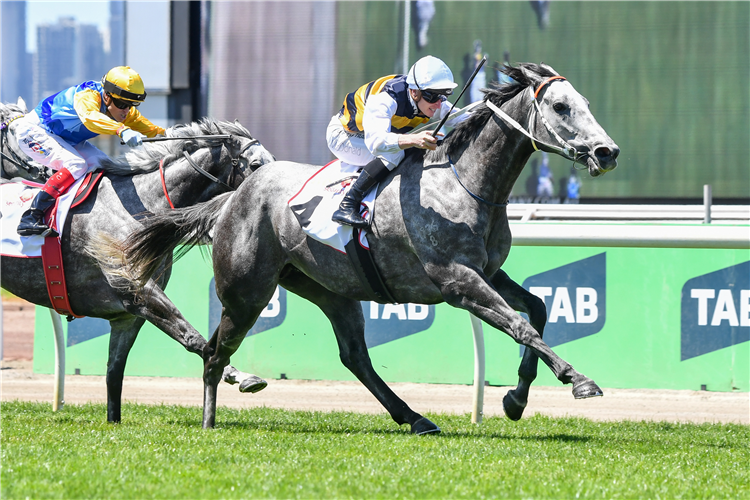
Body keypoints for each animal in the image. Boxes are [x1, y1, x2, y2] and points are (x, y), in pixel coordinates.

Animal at [0, 117, 276, 422]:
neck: (140, 207)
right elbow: (193, 337)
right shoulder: (139, 293)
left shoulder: (128, 315)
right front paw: (238, 374)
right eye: (254, 164)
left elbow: (114, 372)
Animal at [108, 63, 620, 434]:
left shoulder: (488, 273)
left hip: (329, 289)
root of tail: (234, 195)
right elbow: (519, 324)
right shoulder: (456, 280)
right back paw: (210, 421)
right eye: (560, 106)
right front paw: (580, 380)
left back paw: (415, 417)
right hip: (247, 290)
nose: (607, 152)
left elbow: (537, 310)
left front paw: (516, 398)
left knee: (353, 356)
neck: (464, 183)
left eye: (584, 103)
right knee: (215, 353)